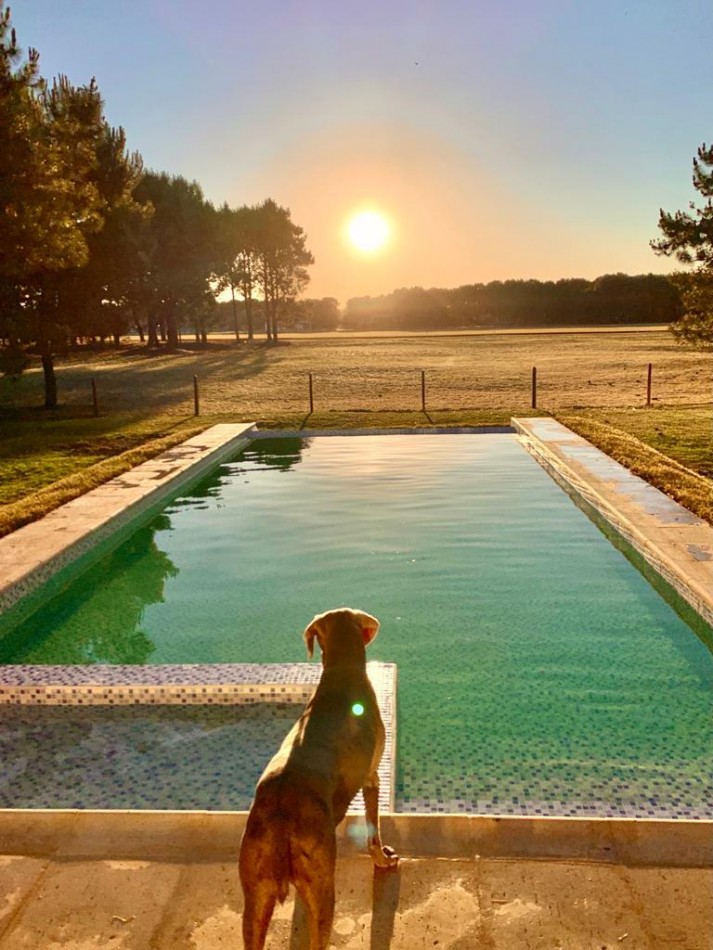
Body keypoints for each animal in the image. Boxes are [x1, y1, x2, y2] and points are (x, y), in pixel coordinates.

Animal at [238, 608, 394, 950]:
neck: (341, 673)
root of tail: (280, 811)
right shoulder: (372, 777)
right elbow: (374, 828)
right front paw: (381, 858)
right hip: (323, 890)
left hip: (255, 896)